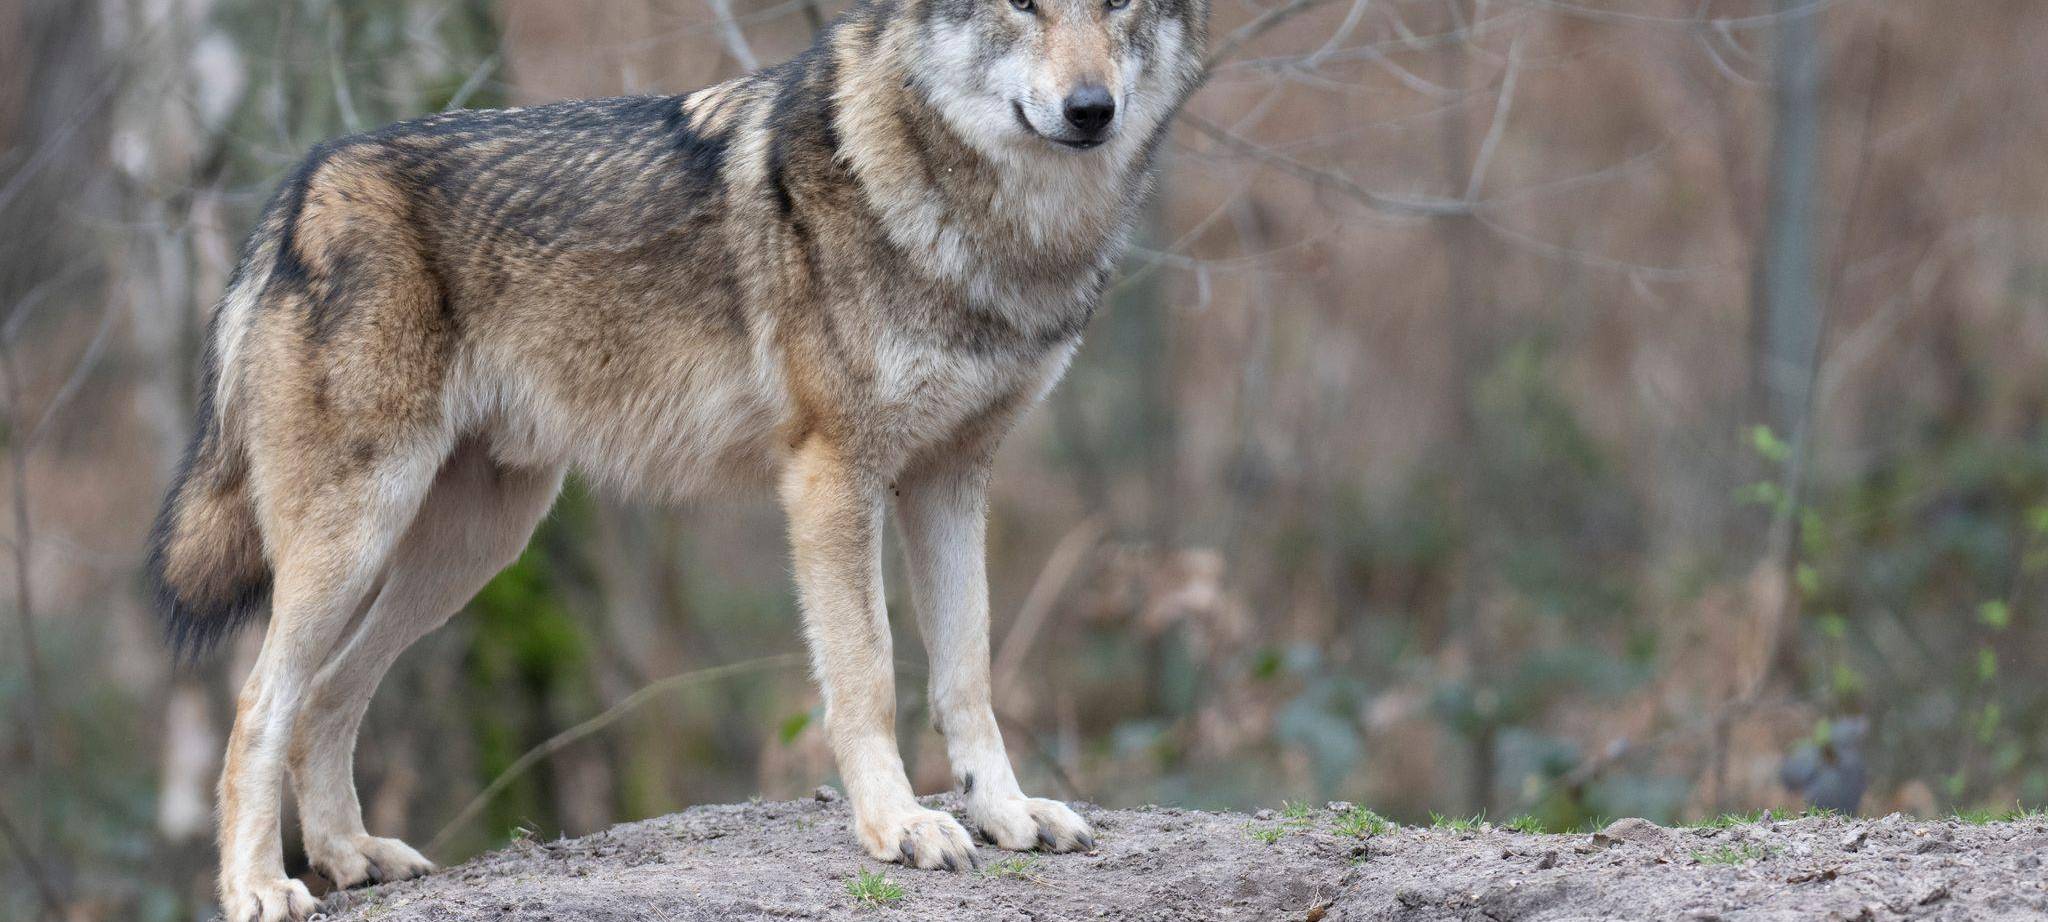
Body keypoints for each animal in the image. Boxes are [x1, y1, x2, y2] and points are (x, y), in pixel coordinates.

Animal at [146, 0, 1206, 916]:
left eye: (1117, 4)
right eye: (1021, 4)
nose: (1091, 109)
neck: (991, 229)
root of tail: (301, 187)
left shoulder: (952, 479)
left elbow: (967, 674)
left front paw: (1003, 813)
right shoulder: (834, 477)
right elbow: (869, 674)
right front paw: (900, 826)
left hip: (472, 549)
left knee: (327, 697)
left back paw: (351, 856)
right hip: (360, 537)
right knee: (259, 705)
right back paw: (259, 888)